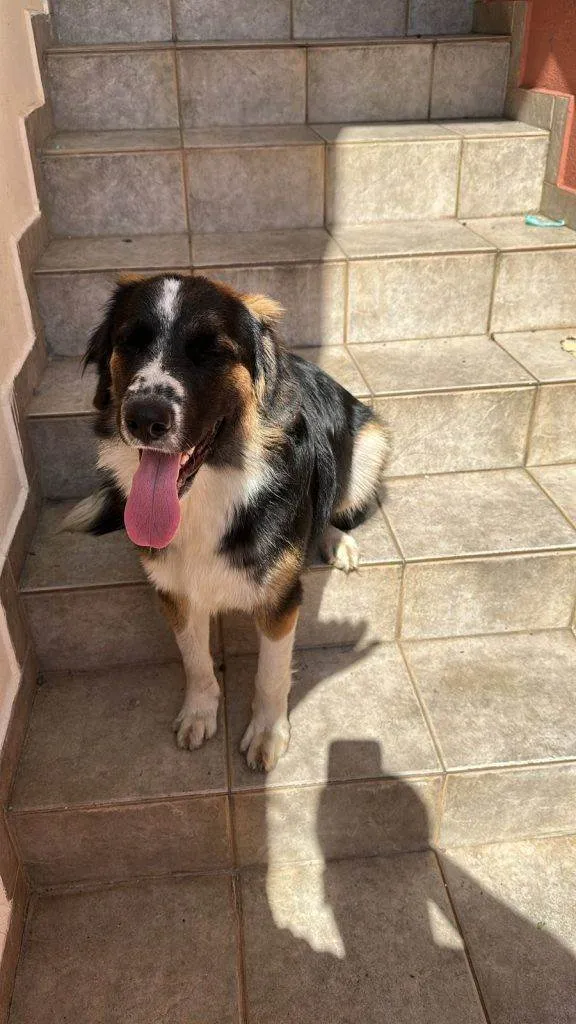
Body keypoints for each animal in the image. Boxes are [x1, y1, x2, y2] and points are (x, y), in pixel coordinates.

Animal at [65, 273, 390, 771]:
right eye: (130, 342)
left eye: (210, 351)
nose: (143, 418)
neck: (211, 489)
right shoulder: (175, 589)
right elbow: (196, 660)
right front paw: (200, 712)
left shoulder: (280, 600)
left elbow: (271, 674)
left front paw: (268, 732)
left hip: (370, 442)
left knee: (338, 501)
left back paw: (336, 539)